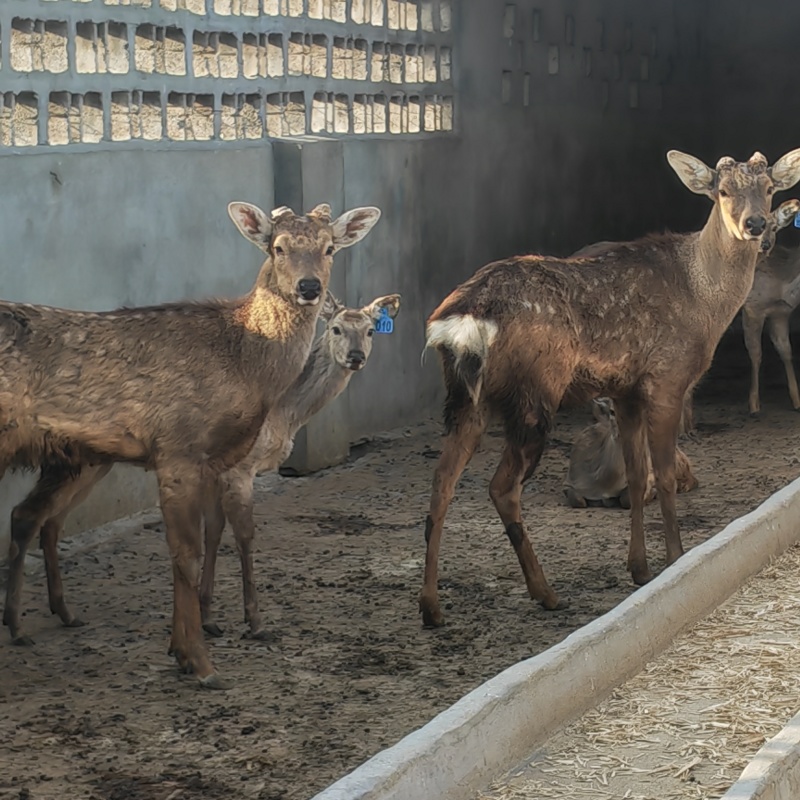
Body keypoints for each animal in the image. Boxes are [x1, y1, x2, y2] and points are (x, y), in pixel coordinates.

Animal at [0, 200, 381, 687]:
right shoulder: (179, 448)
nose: (309, 287)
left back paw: (29, 622)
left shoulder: (212, 461)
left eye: (329, 247)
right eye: (277, 246)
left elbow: (204, 541)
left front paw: (182, 648)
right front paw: (200, 661)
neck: (245, 364)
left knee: (34, 516)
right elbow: (187, 553)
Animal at [742, 199, 800, 415]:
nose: (765, 244)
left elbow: (786, 351)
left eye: (775, 227)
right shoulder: (752, 307)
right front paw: (754, 404)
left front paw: (796, 400)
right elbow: (756, 352)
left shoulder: (781, 313)